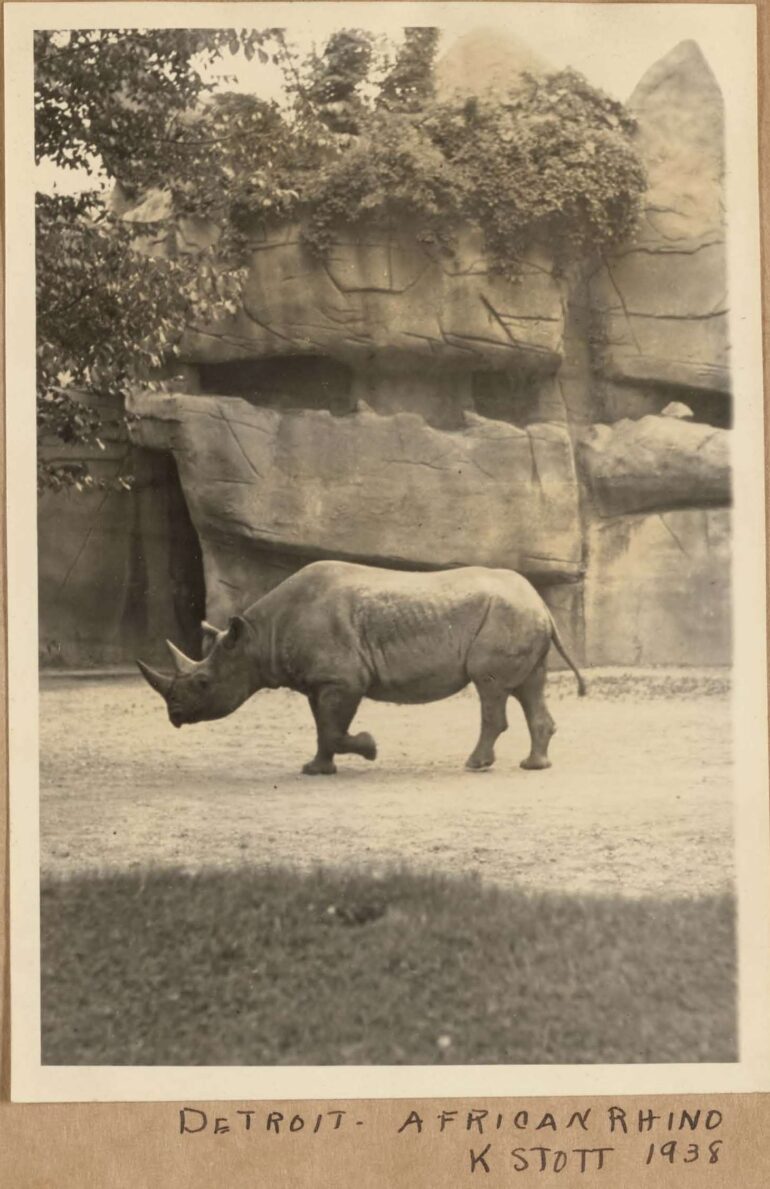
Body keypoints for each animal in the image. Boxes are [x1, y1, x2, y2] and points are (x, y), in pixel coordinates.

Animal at [137, 560, 585, 775]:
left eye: (202, 682)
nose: (174, 715)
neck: (256, 638)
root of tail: (542, 604)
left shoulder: (343, 678)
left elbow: (334, 729)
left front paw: (369, 748)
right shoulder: (319, 681)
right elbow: (323, 728)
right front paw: (315, 770)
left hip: (507, 616)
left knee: (490, 687)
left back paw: (475, 764)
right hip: (519, 616)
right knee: (528, 687)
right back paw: (533, 766)